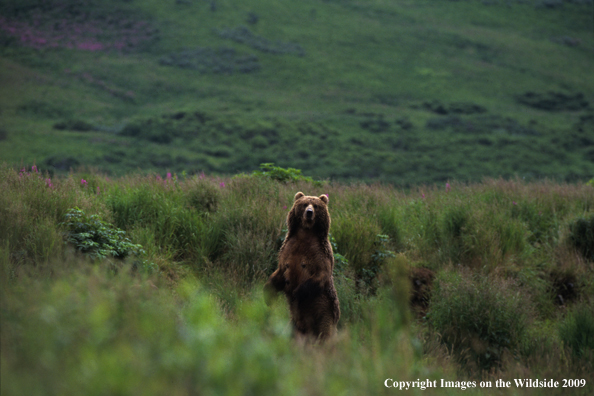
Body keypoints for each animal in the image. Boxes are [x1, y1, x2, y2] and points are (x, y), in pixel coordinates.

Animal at [262, 192, 340, 340]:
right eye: (304, 204)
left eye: (315, 206)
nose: (309, 212)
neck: (306, 233)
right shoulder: (288, 248)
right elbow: (279, 272)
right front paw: (268, 293)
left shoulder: (320, 252)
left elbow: (321, 274)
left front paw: (296, 293)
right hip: (293, 326)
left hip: (325, 314)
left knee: (325, 335)